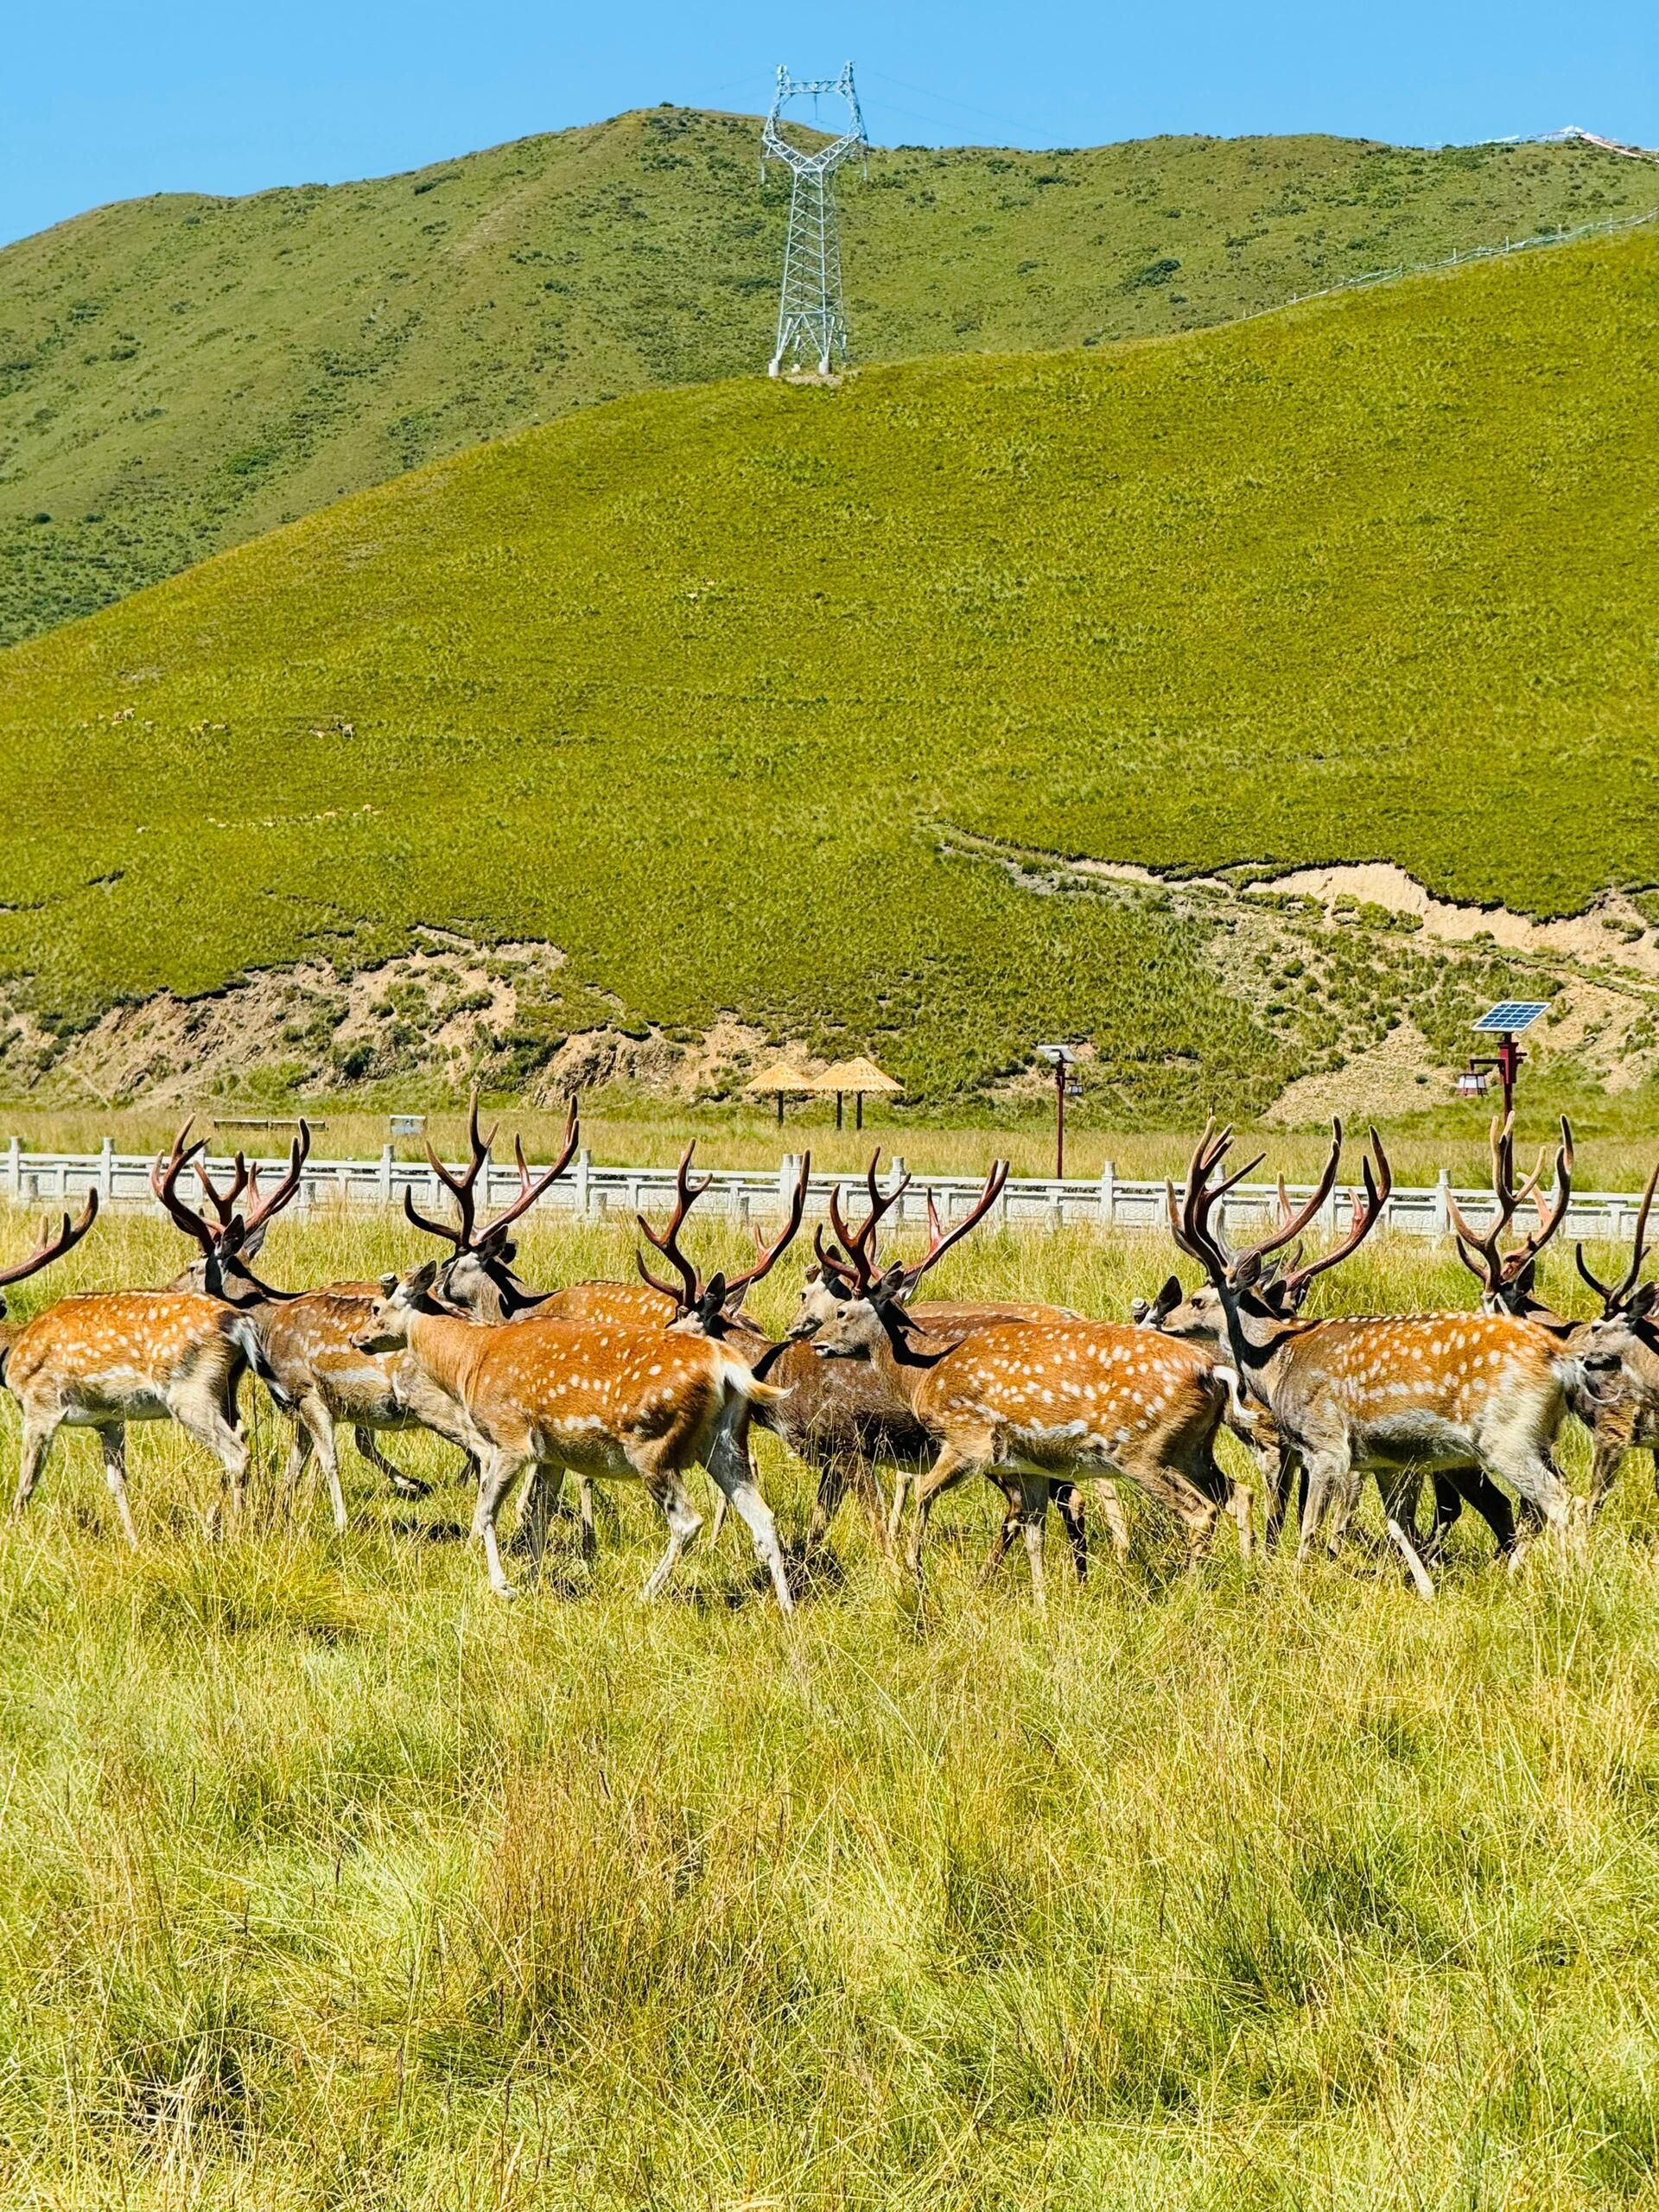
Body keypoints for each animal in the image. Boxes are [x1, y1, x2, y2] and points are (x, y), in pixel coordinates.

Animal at [1167, 1118, 1596, 1593]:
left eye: (1199, 1299)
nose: (1165, 1319)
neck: (1278, 1365)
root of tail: (1562, 1362)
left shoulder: (1325, 1445)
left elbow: (1309, 1527)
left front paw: (1297, 1579)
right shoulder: (1387, 1460)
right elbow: (1397, 1525)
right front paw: (1425, 1588)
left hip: (1507, 1438)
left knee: (1559, 1503)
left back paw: (1571, 1579)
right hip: (1537, 1440)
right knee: (1553, 1501)